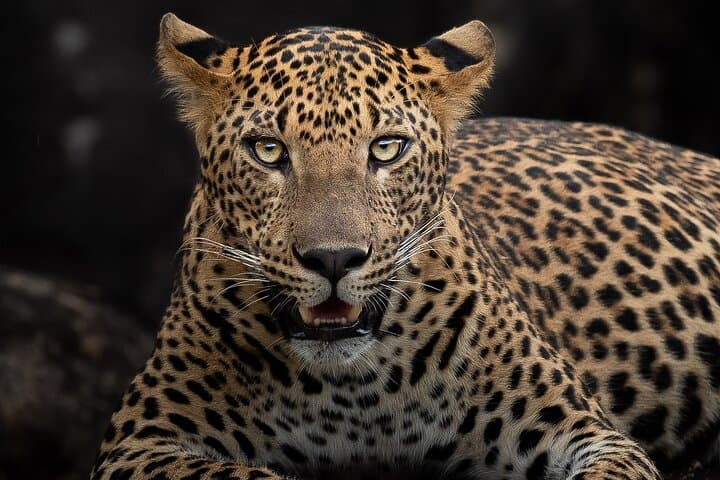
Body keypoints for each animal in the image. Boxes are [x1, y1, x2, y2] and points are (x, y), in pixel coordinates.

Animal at [91, 12, 720, 480]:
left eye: (386, 148)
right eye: (268, 150)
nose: (334, 258)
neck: (351, 394)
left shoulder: (583, 431)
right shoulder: (144, 440)